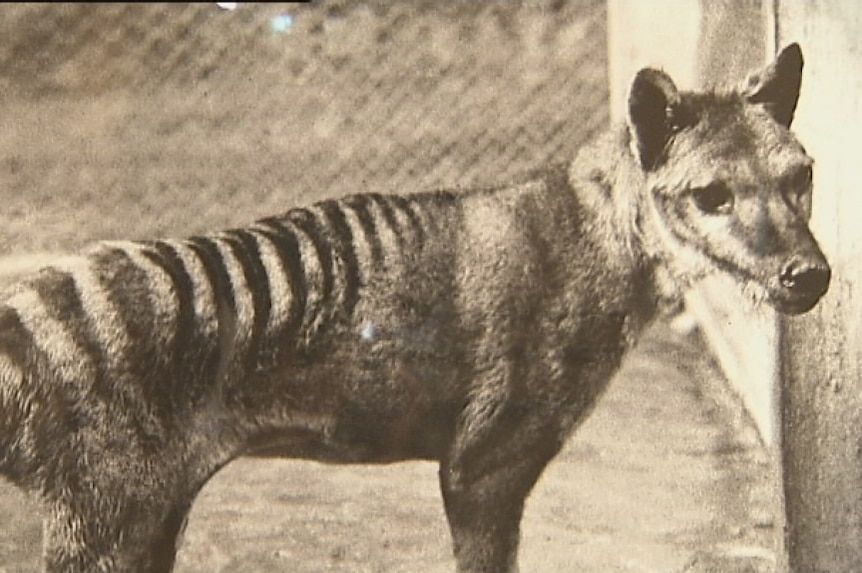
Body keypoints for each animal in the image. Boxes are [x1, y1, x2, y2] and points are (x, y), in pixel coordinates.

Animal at [0, 42, 832, 568]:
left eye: (801, 175)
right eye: (711, 194)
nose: (809, 274)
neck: (589, 234)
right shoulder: (484, 468)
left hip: (149, 523)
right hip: (104, 527)